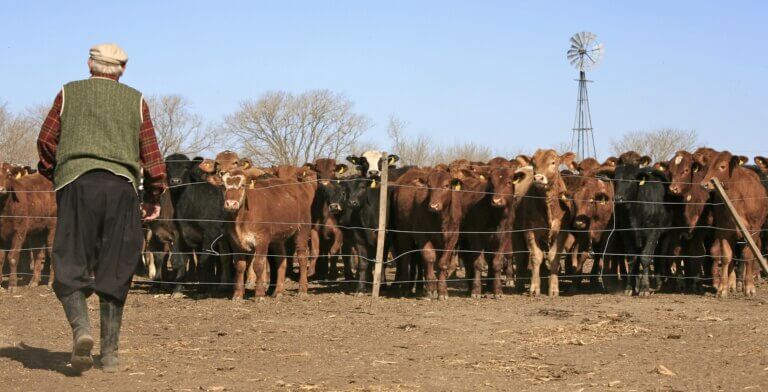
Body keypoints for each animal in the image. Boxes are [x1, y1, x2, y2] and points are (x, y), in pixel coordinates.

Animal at [700, 151, 764, 298]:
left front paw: (749, 287)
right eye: (708, 166)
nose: (704, 184)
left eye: (722, 166)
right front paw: (722, 288)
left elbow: (748, 256)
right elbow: (726, 257)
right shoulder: (724, 230)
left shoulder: (753, 231)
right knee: (732, 257)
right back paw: (731, 283)